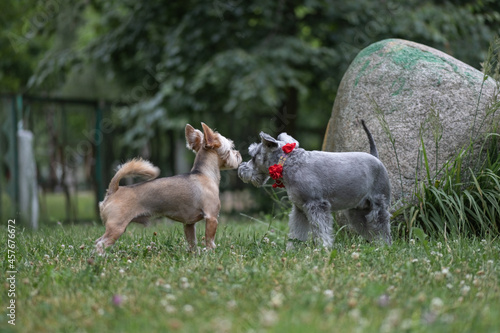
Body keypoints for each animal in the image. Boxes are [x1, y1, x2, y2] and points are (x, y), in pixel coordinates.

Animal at [95, 123, 242, 253]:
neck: (204, 173)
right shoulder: (211, 218)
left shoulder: (189, 224)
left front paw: (195, 253)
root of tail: (114, 189)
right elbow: (209, 240)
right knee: (100, 244)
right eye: (230, 149)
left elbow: (192, 241)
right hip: (117, 227)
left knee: (97, 241)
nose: (238, 154)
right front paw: (211, 252)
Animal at [238, 120, 390, 248]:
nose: (241, 169)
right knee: (369, 230)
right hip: (356, 212)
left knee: (381, 226)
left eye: (253, 156)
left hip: (379, 205)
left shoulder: (316, 206)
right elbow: (297, 231)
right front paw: (292, 249)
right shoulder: (299, 210)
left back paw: (384, 246)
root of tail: (376, 158)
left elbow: (321, 230)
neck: (288, 162)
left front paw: (323, 248)